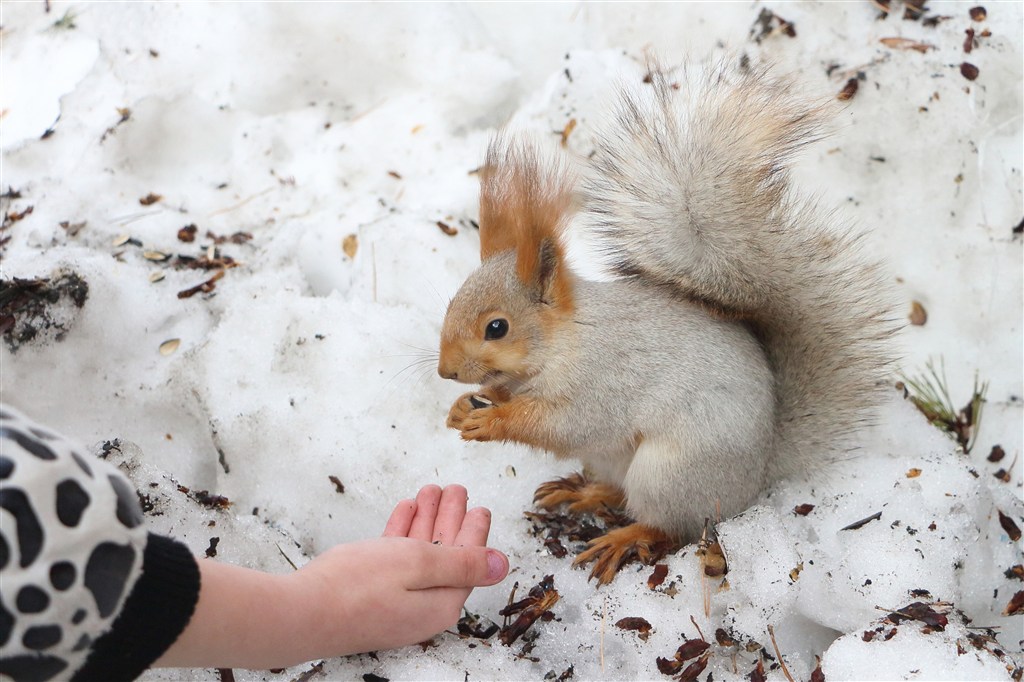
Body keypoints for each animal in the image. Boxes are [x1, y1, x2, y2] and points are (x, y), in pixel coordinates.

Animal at [438, 63, 897, 581]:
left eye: (497, 327)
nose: (445, 371)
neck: (565, 340)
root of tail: (756, 476)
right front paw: (465, 406)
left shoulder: (602, 381)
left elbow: (563, 424)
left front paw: (493, 420)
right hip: (615, 462)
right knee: (617, 491)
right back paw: (583, 491)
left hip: (669, 474)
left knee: (668, 524)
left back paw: (623, 538)